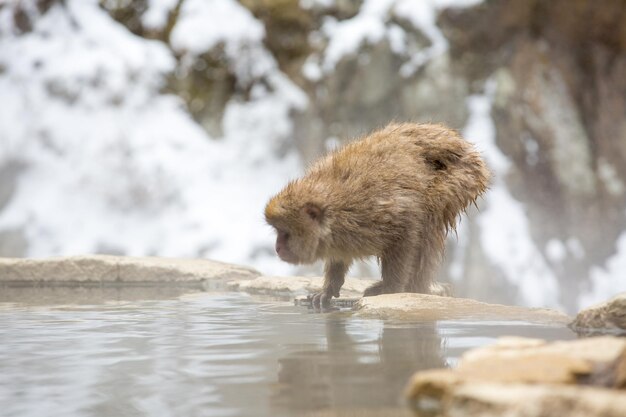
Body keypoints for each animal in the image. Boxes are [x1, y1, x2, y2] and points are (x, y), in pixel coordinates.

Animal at [264, 122, 488, 308]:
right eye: (277, 230)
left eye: (284, 232)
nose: (277, 247)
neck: (336, 213)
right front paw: (328, 289)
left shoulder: (375, 213)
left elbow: (405, 237)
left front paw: (391, 288)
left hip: (460, 177)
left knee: (428, 225)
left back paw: (416, 289)